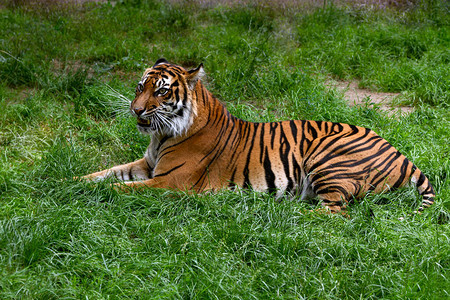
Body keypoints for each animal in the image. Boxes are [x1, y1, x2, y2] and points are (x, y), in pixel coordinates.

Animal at [79, 58, 434, 213]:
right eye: (140, 86)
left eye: (162, 91)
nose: (136, 110)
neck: (162, 135)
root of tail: (402, 155)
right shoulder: (146, 165)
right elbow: (105, 173)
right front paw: (70, 182)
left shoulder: (169, 182)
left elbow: (117, 187)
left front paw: (85, 194)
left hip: (327, 159)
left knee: (335, 212)